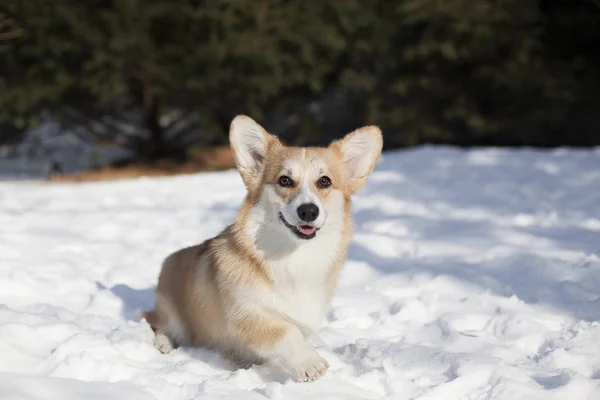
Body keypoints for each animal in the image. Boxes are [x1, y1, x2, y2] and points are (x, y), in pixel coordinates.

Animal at [143, 115, 382, 382]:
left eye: (325, 181)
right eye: (284, 180)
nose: (308, 211)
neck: (294, 257)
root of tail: (169, 259)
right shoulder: (248, 314)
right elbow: (286, 331)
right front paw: (310, 362)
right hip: (172, 314)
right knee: (159, 324)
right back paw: (163, 343)